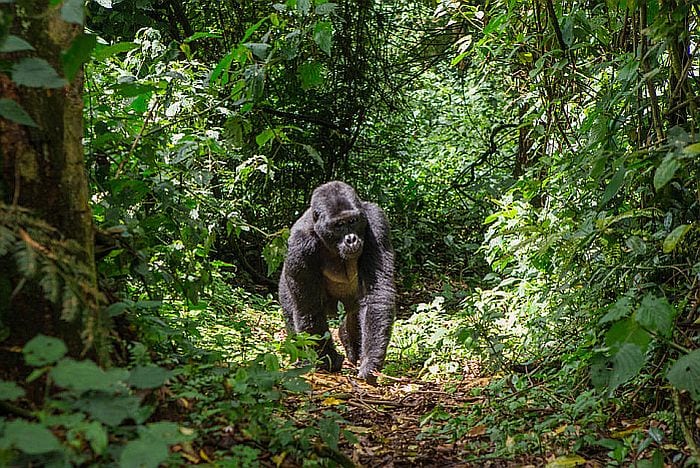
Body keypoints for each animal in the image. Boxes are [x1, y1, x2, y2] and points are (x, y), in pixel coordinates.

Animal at [280, 179, 400, 380]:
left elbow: (376, 295)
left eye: (352, 221)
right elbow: (309, 309)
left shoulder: (377, 222)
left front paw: (370, 361)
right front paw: (329, 360)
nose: (351, 239)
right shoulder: (300, 244)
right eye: (338, 225)